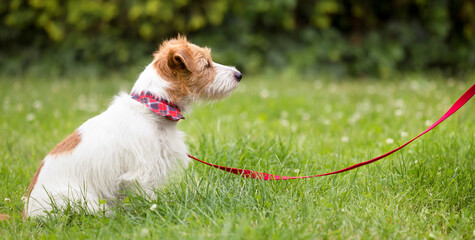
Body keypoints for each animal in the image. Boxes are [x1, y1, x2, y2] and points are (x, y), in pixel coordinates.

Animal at [21, 36, 242, 218]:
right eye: (206, 65)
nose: (239, 74)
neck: (153, 108)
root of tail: (27, 214)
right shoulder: (142, 173)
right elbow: (150, 199)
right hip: (83, 201)